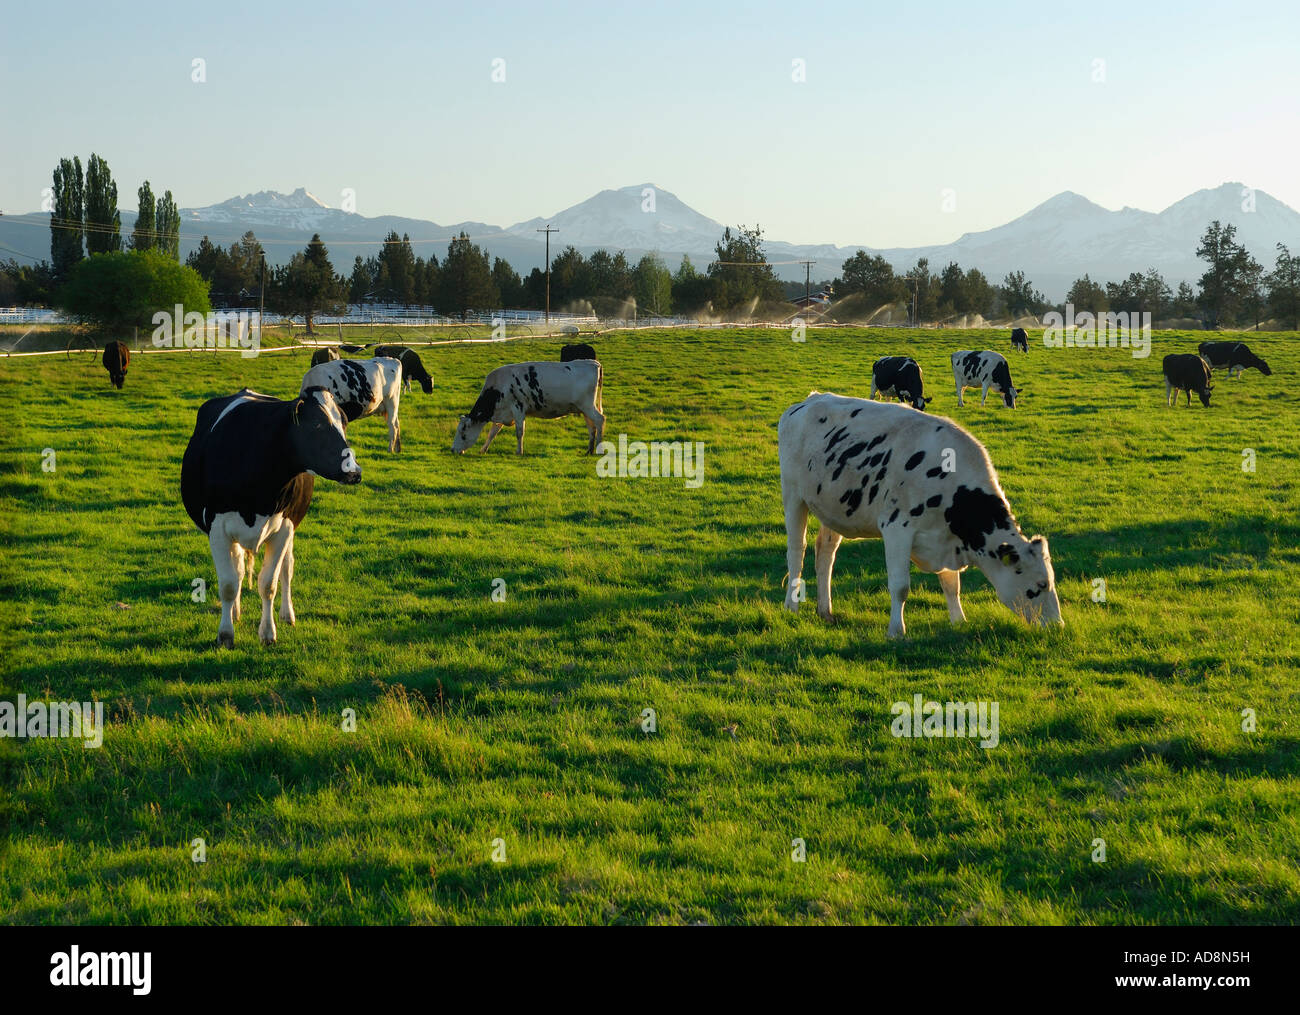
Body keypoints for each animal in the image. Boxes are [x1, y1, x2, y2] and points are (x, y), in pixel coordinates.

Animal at [180, 384, 364, 644]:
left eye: (345, 423)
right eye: (317, 425)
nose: (354, 472)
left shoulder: (284, 528)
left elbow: (269, 584)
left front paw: (268, 632)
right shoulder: (217, 529)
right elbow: (228, 584)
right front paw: (225, 634)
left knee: (287, 568)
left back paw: (287, 615)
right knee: (238, 570)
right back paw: (235, 612)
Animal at [452, 356, 603, 452]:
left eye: (462, 432)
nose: (453, 449)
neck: (498, 388)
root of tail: (593, 363)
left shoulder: (518, 408)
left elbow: (519, 432)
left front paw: (519, 452)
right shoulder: (502, 412)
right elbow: (492, 433)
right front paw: (483, 449)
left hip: (587, 406)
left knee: (600, 420)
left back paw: (599, 448)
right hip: (584, 409)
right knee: (591, 427)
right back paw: (589, 450)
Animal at [774, 392, 1060, 636]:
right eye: (1040, 585)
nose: (1059, 626)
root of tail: (809, 400)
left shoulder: (945, 539)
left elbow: (951, 585)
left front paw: (959, 621)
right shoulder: (896, 528)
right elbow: (900, 586)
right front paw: (896, 631)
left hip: (832, 507)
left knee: (825, 552)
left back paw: (826, 611)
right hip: (793, 495)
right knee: (796, 550)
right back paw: (792, 605)